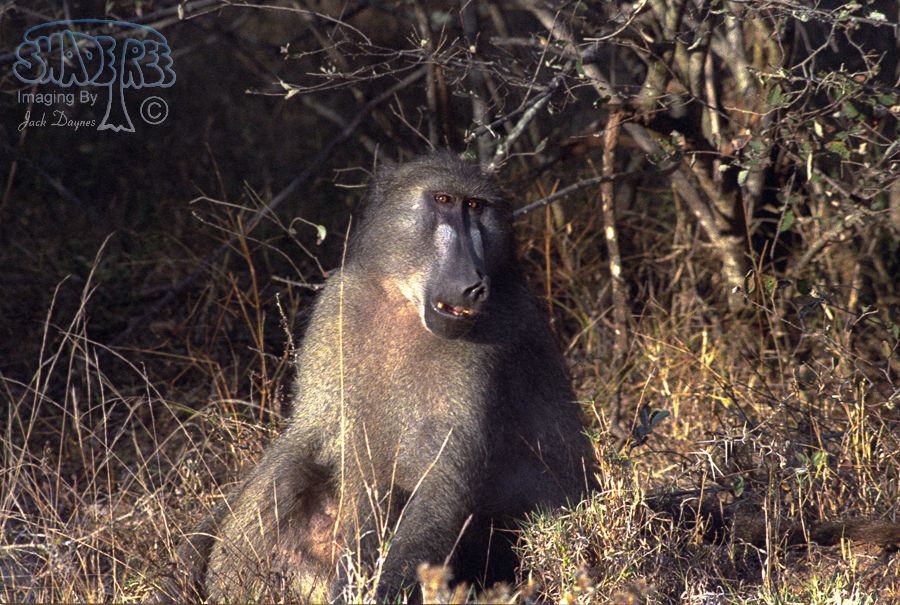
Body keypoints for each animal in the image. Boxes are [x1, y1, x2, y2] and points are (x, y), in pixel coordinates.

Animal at [155, 152, 594, 602]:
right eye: (444, 199)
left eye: (476, 207)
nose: (472, 283)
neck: (403, 299)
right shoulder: (339, 302)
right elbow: (304, 435)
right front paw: (183, 563)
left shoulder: (493, 334)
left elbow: (441, 484)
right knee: (294, 471)